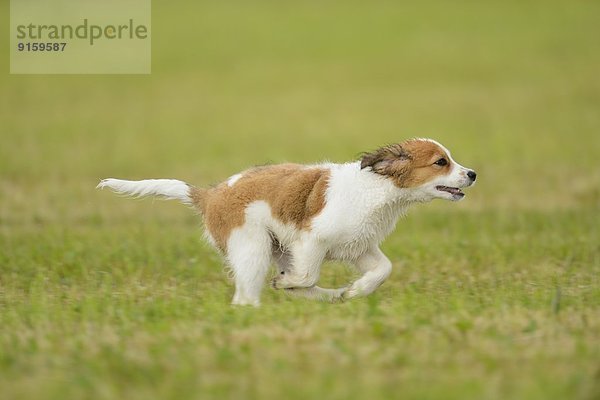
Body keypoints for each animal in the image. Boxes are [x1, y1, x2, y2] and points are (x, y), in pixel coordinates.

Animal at [98, 139, 478, 304]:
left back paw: (331, 296)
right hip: (253, 247)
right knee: (246, 295)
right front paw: (287, 284)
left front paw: (356, 290)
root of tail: (210, 195)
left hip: (279, 248)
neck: (376, 188)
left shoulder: (358, 246)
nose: (473, 174)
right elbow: (307, 274)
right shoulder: (313, 240)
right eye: (441, 162)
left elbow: (383, 269)